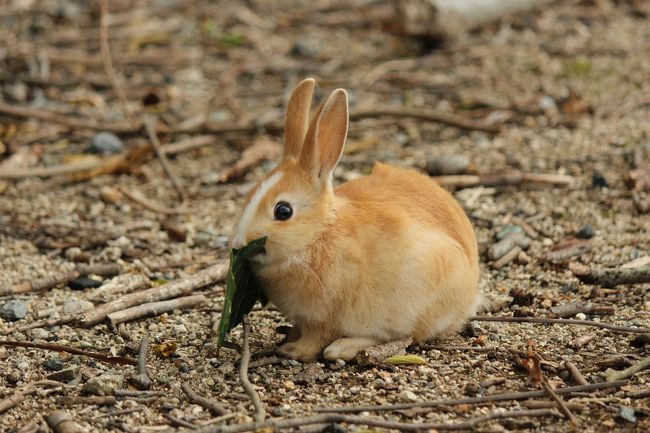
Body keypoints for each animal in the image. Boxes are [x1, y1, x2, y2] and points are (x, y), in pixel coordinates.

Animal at [230, 78, 478, 362]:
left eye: (283, 211)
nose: (239, 243)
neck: (318, 235)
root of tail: (470, 292)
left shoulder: (323, 317)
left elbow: (315, 338)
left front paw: (293, 350)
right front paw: (289, 338)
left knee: (407, 335)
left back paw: (343, 348)